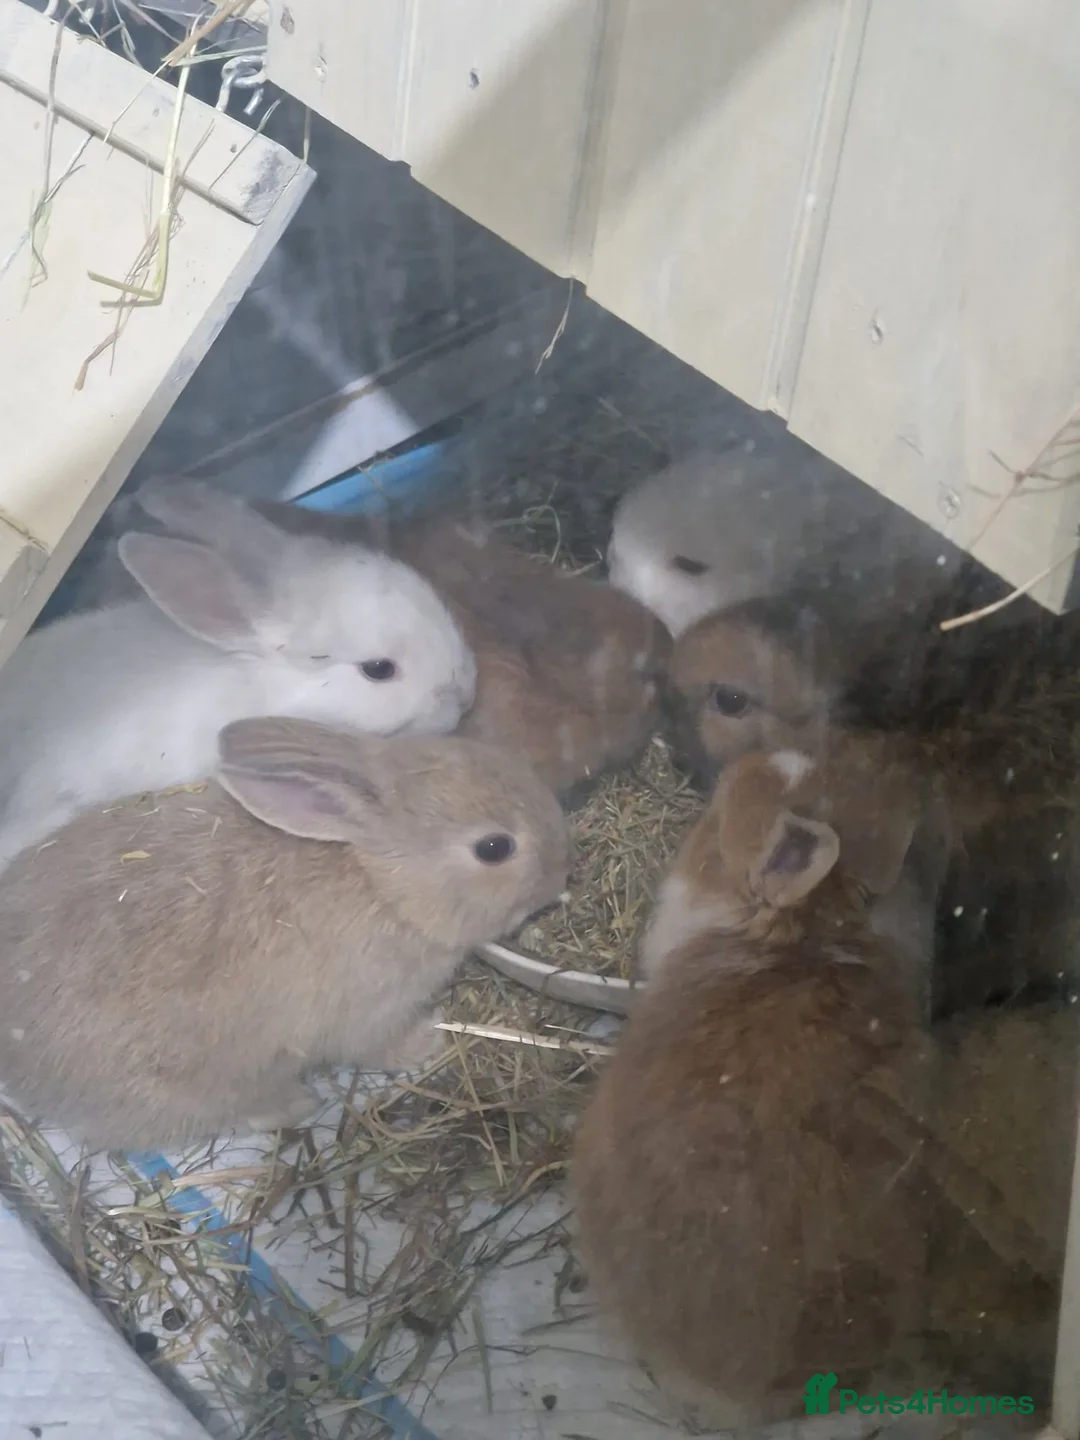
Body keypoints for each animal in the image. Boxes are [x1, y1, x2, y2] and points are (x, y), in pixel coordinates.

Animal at [0, 716, 571, 1152]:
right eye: (494, 848)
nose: (562, 871)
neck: (379, 881)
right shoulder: (371, 1011)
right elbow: (381, 1047)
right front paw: (430, 1036)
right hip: (182, 1092)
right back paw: (298, 1103)